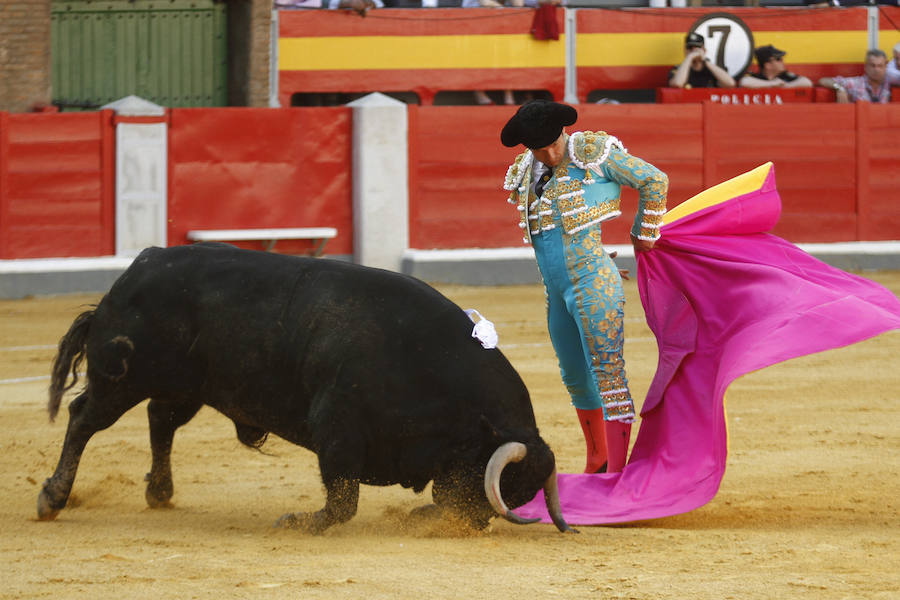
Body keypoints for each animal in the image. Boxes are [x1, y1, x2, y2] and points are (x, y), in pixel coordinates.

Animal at [38, 244, 572, 536]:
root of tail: (137, 268)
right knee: (84, 418)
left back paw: (160, 492)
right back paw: (52, 499)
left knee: (160, 423)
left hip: (182, 387)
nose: (467, 528)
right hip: (121, 376)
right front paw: (298, 522)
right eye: (497, 483)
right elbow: (341, 503)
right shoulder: (337, 428)